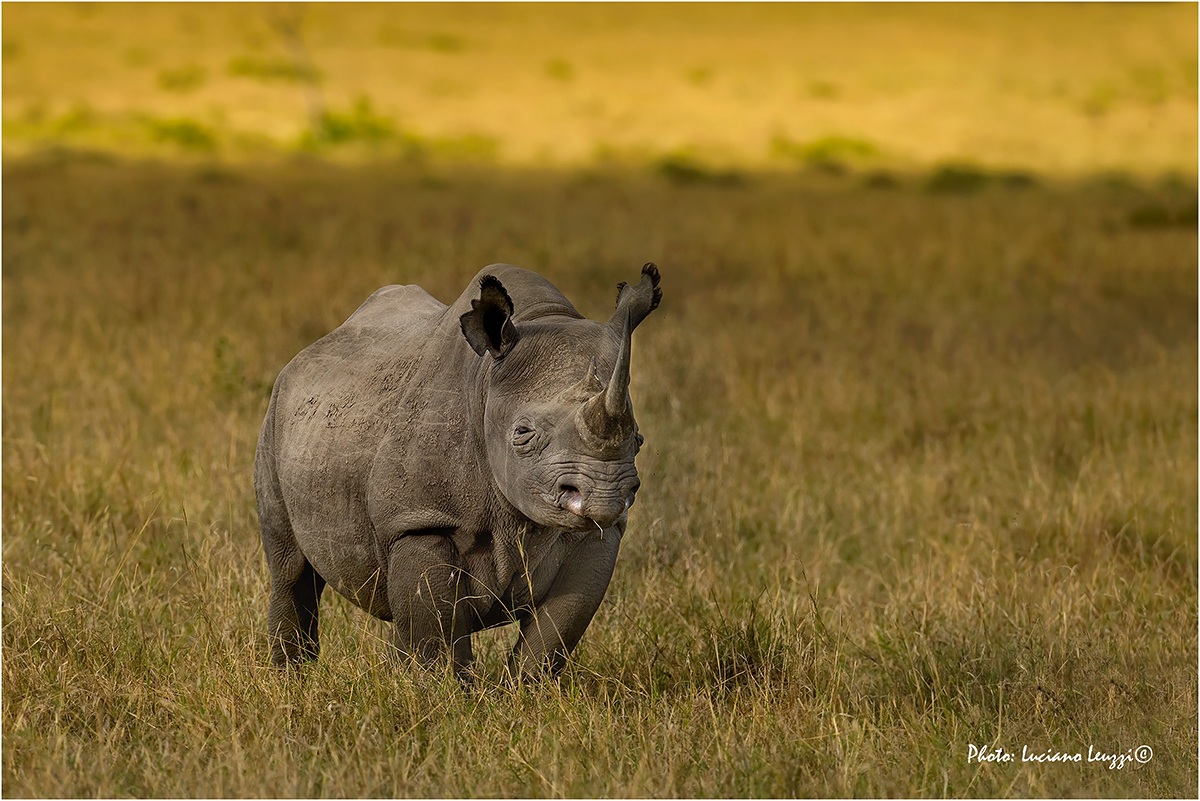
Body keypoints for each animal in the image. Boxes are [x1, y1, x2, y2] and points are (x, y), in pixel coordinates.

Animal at [254, 263, 661, 678]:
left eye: (639, 439)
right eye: (523, 433)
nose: (605, 494)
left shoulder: (598, 535)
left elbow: (555, 630)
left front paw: (522, 688)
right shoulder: (422, 519)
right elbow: (437, 628)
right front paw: (442, 689)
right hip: (277, 416)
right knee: (290, 567)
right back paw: (291, 678)